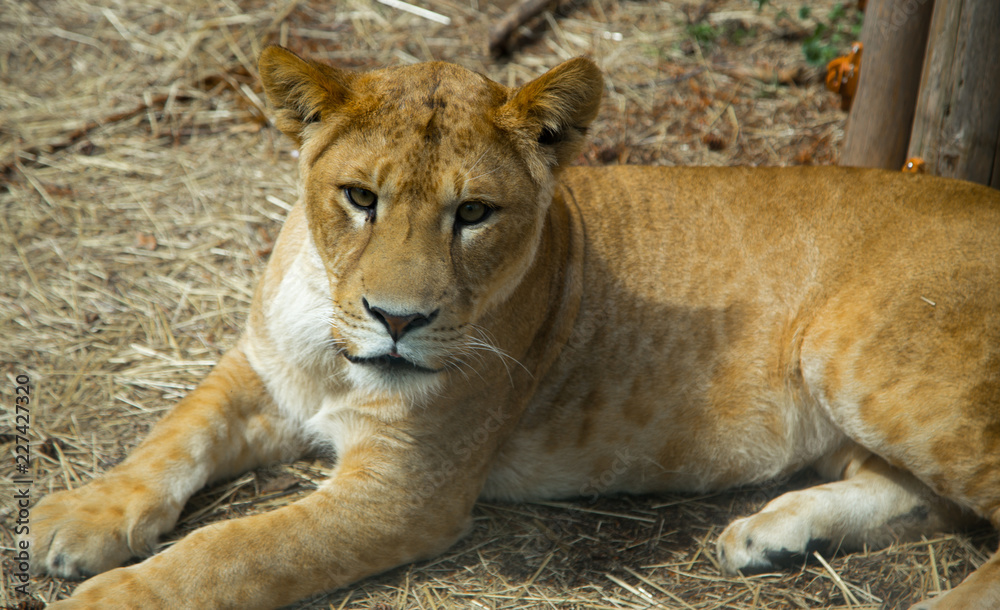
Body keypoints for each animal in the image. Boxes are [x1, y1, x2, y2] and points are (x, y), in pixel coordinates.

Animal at [30, 47, 1000, 609]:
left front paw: (110, 600)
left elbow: (235, 552)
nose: (397, 319)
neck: (334, 342)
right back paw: (772, 533)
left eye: (474, 213)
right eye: (360, 197)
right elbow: (174, 432)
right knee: (925, 499)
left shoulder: (404, 493)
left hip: (860, 358)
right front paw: (81, 518)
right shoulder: (262, 369)